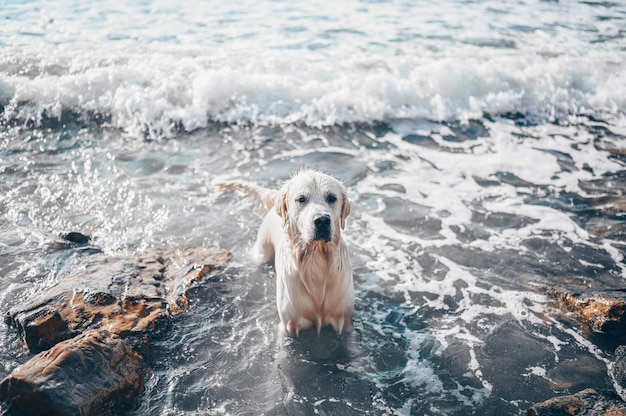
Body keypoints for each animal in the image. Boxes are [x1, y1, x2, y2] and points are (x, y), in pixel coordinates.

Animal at [218, 169, 354, 334]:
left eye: (332, 198)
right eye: (301, 199)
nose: (322, 221)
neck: (315, 257)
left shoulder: (345, 321)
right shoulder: (288, 325)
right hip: (262, 252)